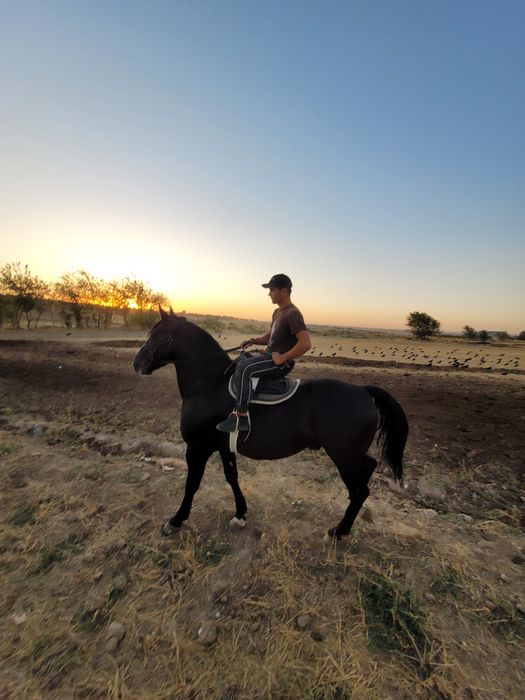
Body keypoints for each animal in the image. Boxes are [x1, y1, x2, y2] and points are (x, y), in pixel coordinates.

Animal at [133, 308, 409, 540]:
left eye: (156, 334)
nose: (137, 362)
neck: (210, 384)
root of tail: (363, 391)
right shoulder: (223, 447)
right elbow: (231, 477)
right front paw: (240, 514)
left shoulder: (197, 448)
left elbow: (192, 484)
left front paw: (176, 520)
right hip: (351, 454)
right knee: (367, 472)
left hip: (344, 455)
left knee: (360, 491)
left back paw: (339, 531)